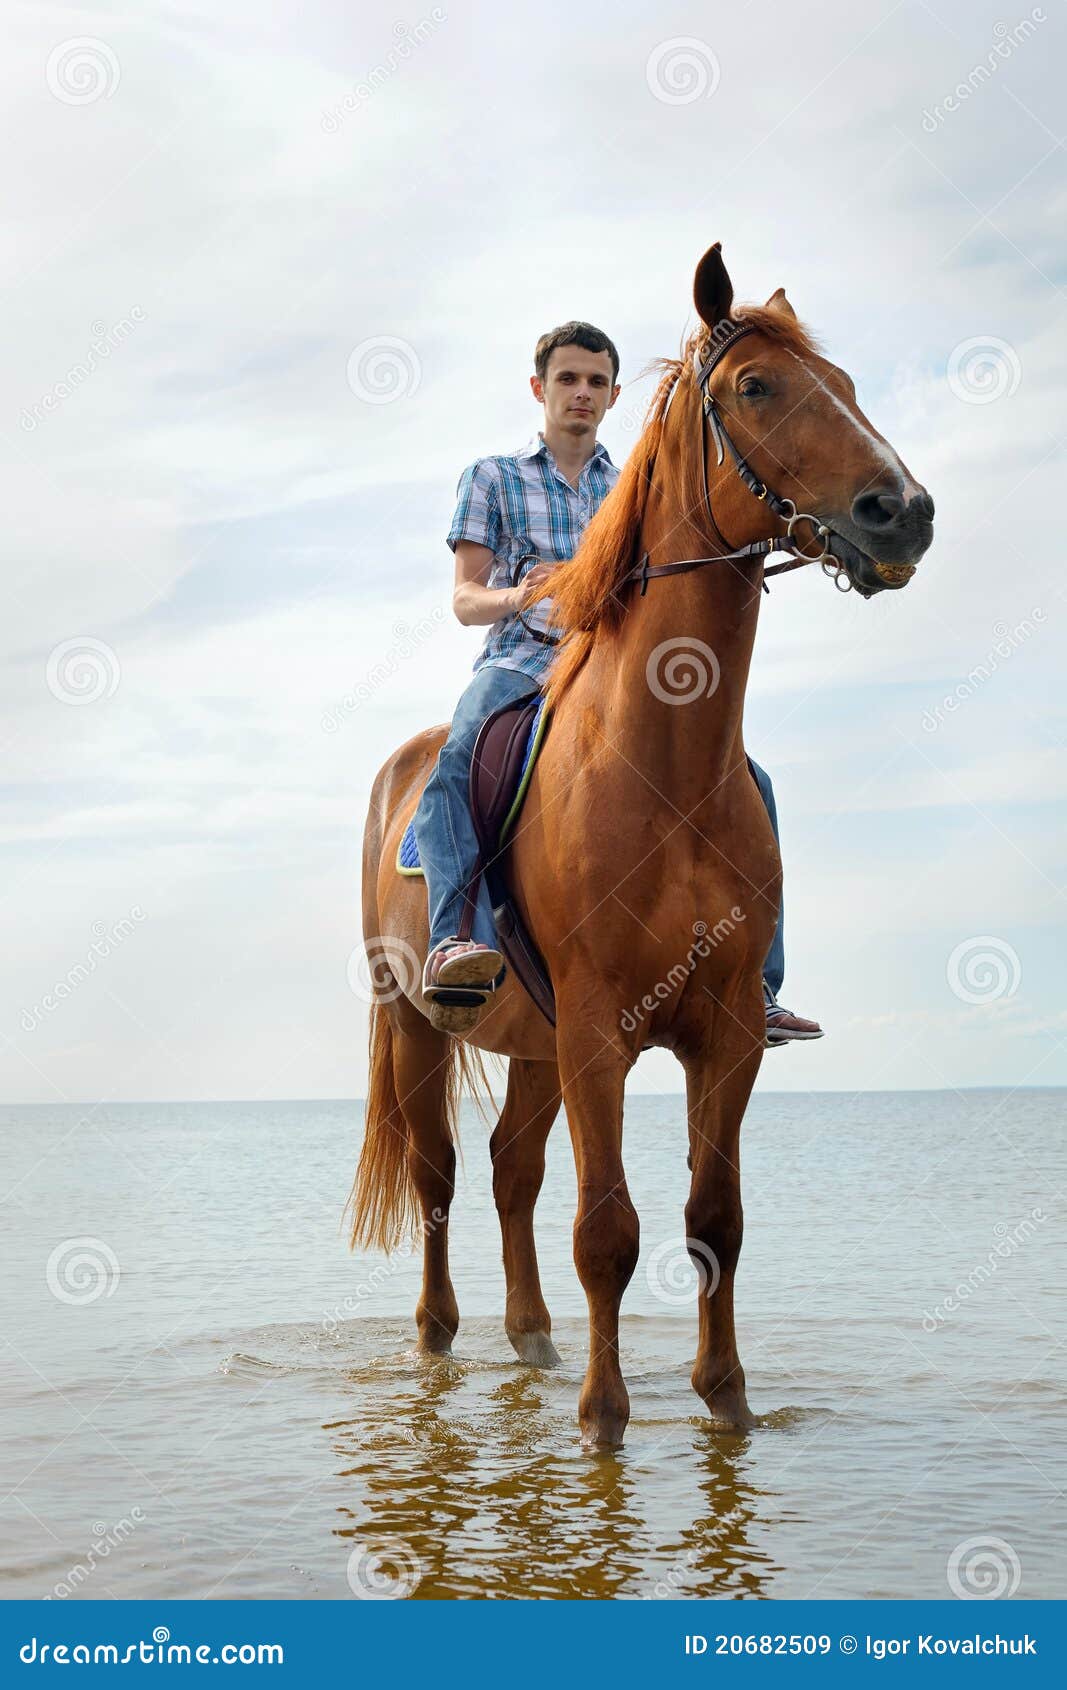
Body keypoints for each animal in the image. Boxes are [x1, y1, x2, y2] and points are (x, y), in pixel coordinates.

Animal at [344, 241, 933, 1453]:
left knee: (511, 1173)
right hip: (422, 1027)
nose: (902, 512)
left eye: (847, 384)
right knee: (438, 1180)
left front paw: (725, 1400)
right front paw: (603, 1419)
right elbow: (605, 1233)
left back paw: (530, 1340)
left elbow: (715, 1220)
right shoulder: (599, 1036)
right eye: (755, 387)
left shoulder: (724, 1035)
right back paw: (444, 1337)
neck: (665, 765)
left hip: (530, 1046)